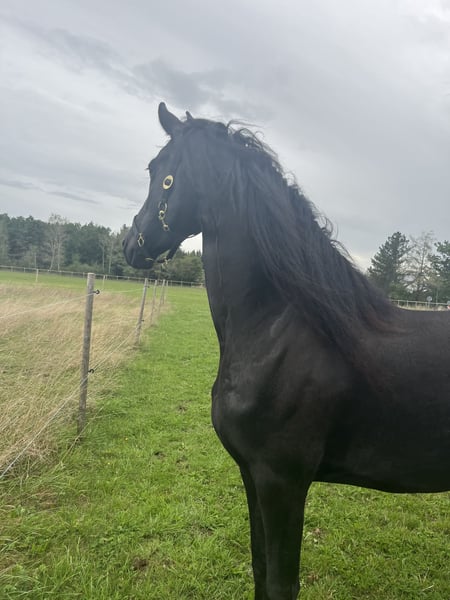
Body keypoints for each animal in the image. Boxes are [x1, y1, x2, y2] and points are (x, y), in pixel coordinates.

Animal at [122, 103, 450, 600]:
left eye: (158, 172)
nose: (129, 245)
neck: (275, 332)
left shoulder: (283, 482)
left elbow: (280, 582)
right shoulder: (252, 475)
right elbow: (260, 571)